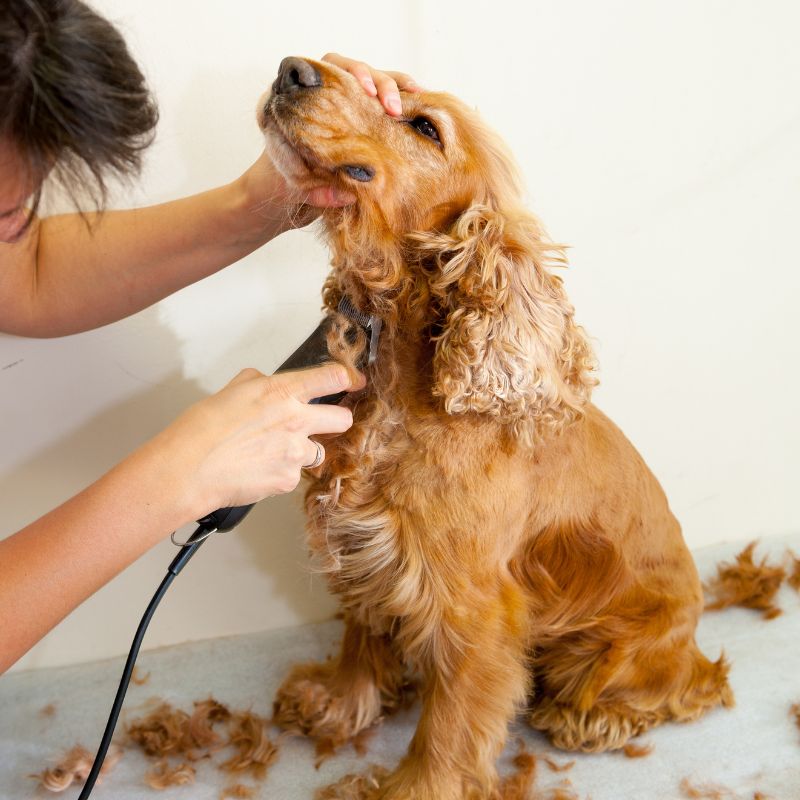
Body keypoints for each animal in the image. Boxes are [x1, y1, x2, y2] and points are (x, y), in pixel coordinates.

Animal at [260, 56, 736, 800]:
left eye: (426, 127)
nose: (292, 68)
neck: (402, 386)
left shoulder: (473, 606)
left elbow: (450, 726)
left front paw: (414, 789)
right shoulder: (367, 549)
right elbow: (360, 637)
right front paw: (338, 703)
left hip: (613, 651)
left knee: (688, 687)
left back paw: (590, 718)